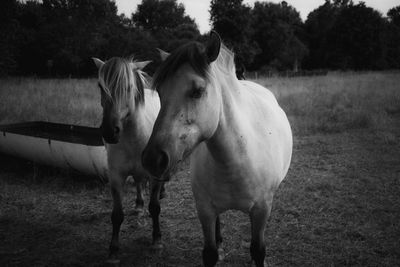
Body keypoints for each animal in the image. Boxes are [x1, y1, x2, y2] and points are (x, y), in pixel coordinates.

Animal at [92, 57, 166, 264]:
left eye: (128, 86)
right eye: (100, 86)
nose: (110, 131)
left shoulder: (154, 174)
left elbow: (155, 207)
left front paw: (157, 241)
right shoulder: (116, 176)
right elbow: (117, 215)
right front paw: (113, 250)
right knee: (139, 182)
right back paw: (139, 205)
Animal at [142, 31, 292, 267]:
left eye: (197, 91)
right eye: (159, 92)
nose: (152, 159)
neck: (238, 158)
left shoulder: (261, 210)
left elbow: (258, 250)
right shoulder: (205, 209)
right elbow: (210, 253)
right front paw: (218, 249)